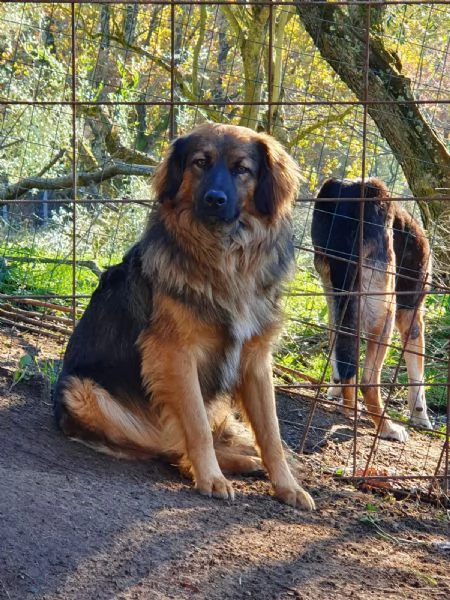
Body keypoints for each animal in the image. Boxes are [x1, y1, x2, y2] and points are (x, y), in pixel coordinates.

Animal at [53, 124, 316, 508]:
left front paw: (287, 486)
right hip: (82, 391)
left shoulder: (255, 359)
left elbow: (271, 433)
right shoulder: (175, 353)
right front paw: (210, 478)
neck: (225, 257)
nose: (214, 199)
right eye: (200, 163)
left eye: (242, 169)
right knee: (170, 449)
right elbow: (196, 427)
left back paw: (247, 462)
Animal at [312, 175, 432, 440]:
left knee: (343, 357)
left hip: (334, 290)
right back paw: (387, 428)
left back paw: (349, 409)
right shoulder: (411, 317)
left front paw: (334, 394)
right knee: (368, 381)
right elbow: (417, 378)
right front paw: (421, 417)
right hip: (384, 309)